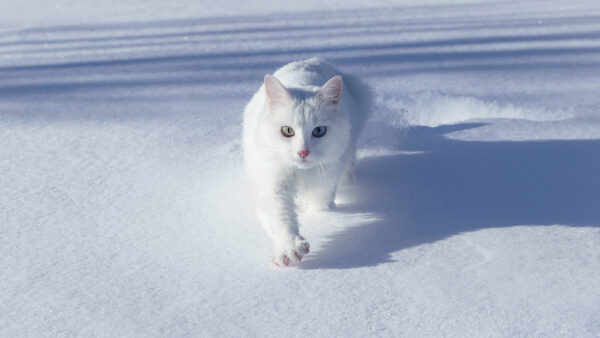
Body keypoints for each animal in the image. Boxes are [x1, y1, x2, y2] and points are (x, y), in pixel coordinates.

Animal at [244, 58, 370, 266]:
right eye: (287, 131)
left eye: (319, 131)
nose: (303, 152)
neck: (301, 172)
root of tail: (312, 60)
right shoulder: (273, 182)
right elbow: (280, 215)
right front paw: (289, 248)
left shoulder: (325, 182)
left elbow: (321, 206)